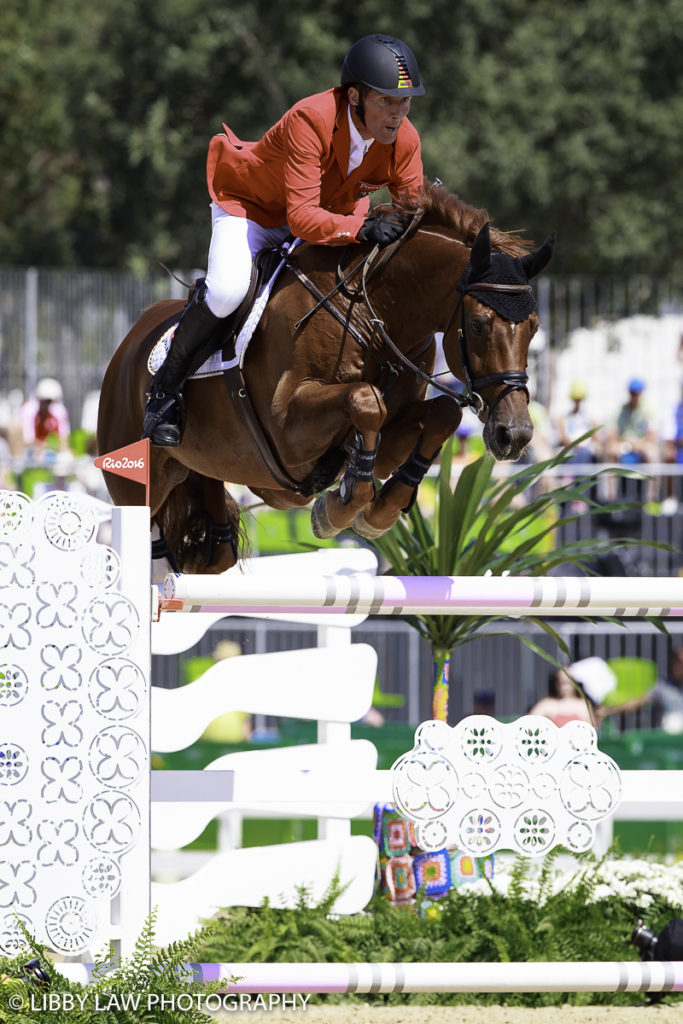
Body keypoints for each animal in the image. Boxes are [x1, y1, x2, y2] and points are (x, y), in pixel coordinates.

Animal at [97, 179, 557, 573]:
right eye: (478, 325)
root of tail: (127, 346)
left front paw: (380, 509)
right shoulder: (285, 429)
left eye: (534, 327)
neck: (376, 315)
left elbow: (442, 413)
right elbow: (367, 399)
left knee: (212, 557)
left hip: (204, 473)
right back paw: (161, 415)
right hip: (136, 480)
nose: (514, 435)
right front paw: (339, 510)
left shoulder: (393, 430)